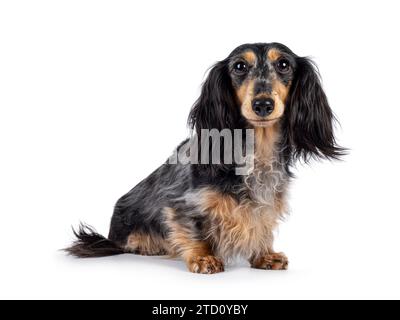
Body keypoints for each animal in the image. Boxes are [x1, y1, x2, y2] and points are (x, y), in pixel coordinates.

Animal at [65, 41, 344, 274]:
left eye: (284, 64)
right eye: (240, 66)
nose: (263, 104)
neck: (256, 151)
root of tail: (110, 235)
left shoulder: (266, 204)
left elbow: (261, 225)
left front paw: (264, 254)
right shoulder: (181, 203)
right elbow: (192, 230)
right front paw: (203, 257)